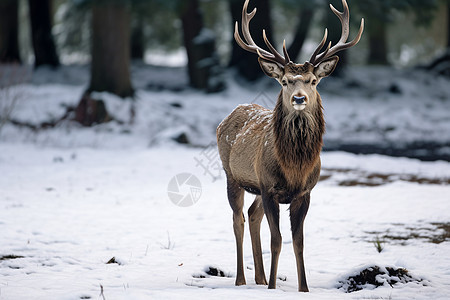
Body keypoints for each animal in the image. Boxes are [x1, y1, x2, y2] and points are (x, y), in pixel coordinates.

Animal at [216, 0, 364, 292]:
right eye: (285, 81)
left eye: (313, 81)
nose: (298, 98)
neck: (295, 168)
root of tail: (230, 114)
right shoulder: (270, 188)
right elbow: (277, 240)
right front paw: (274, 288)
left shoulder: (304, 192)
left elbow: (299, 242)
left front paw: (302, 288)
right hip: (233, 176)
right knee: (238, 219)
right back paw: (241, 280)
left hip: (257, 186)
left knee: (253, 215)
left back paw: (260, 279)